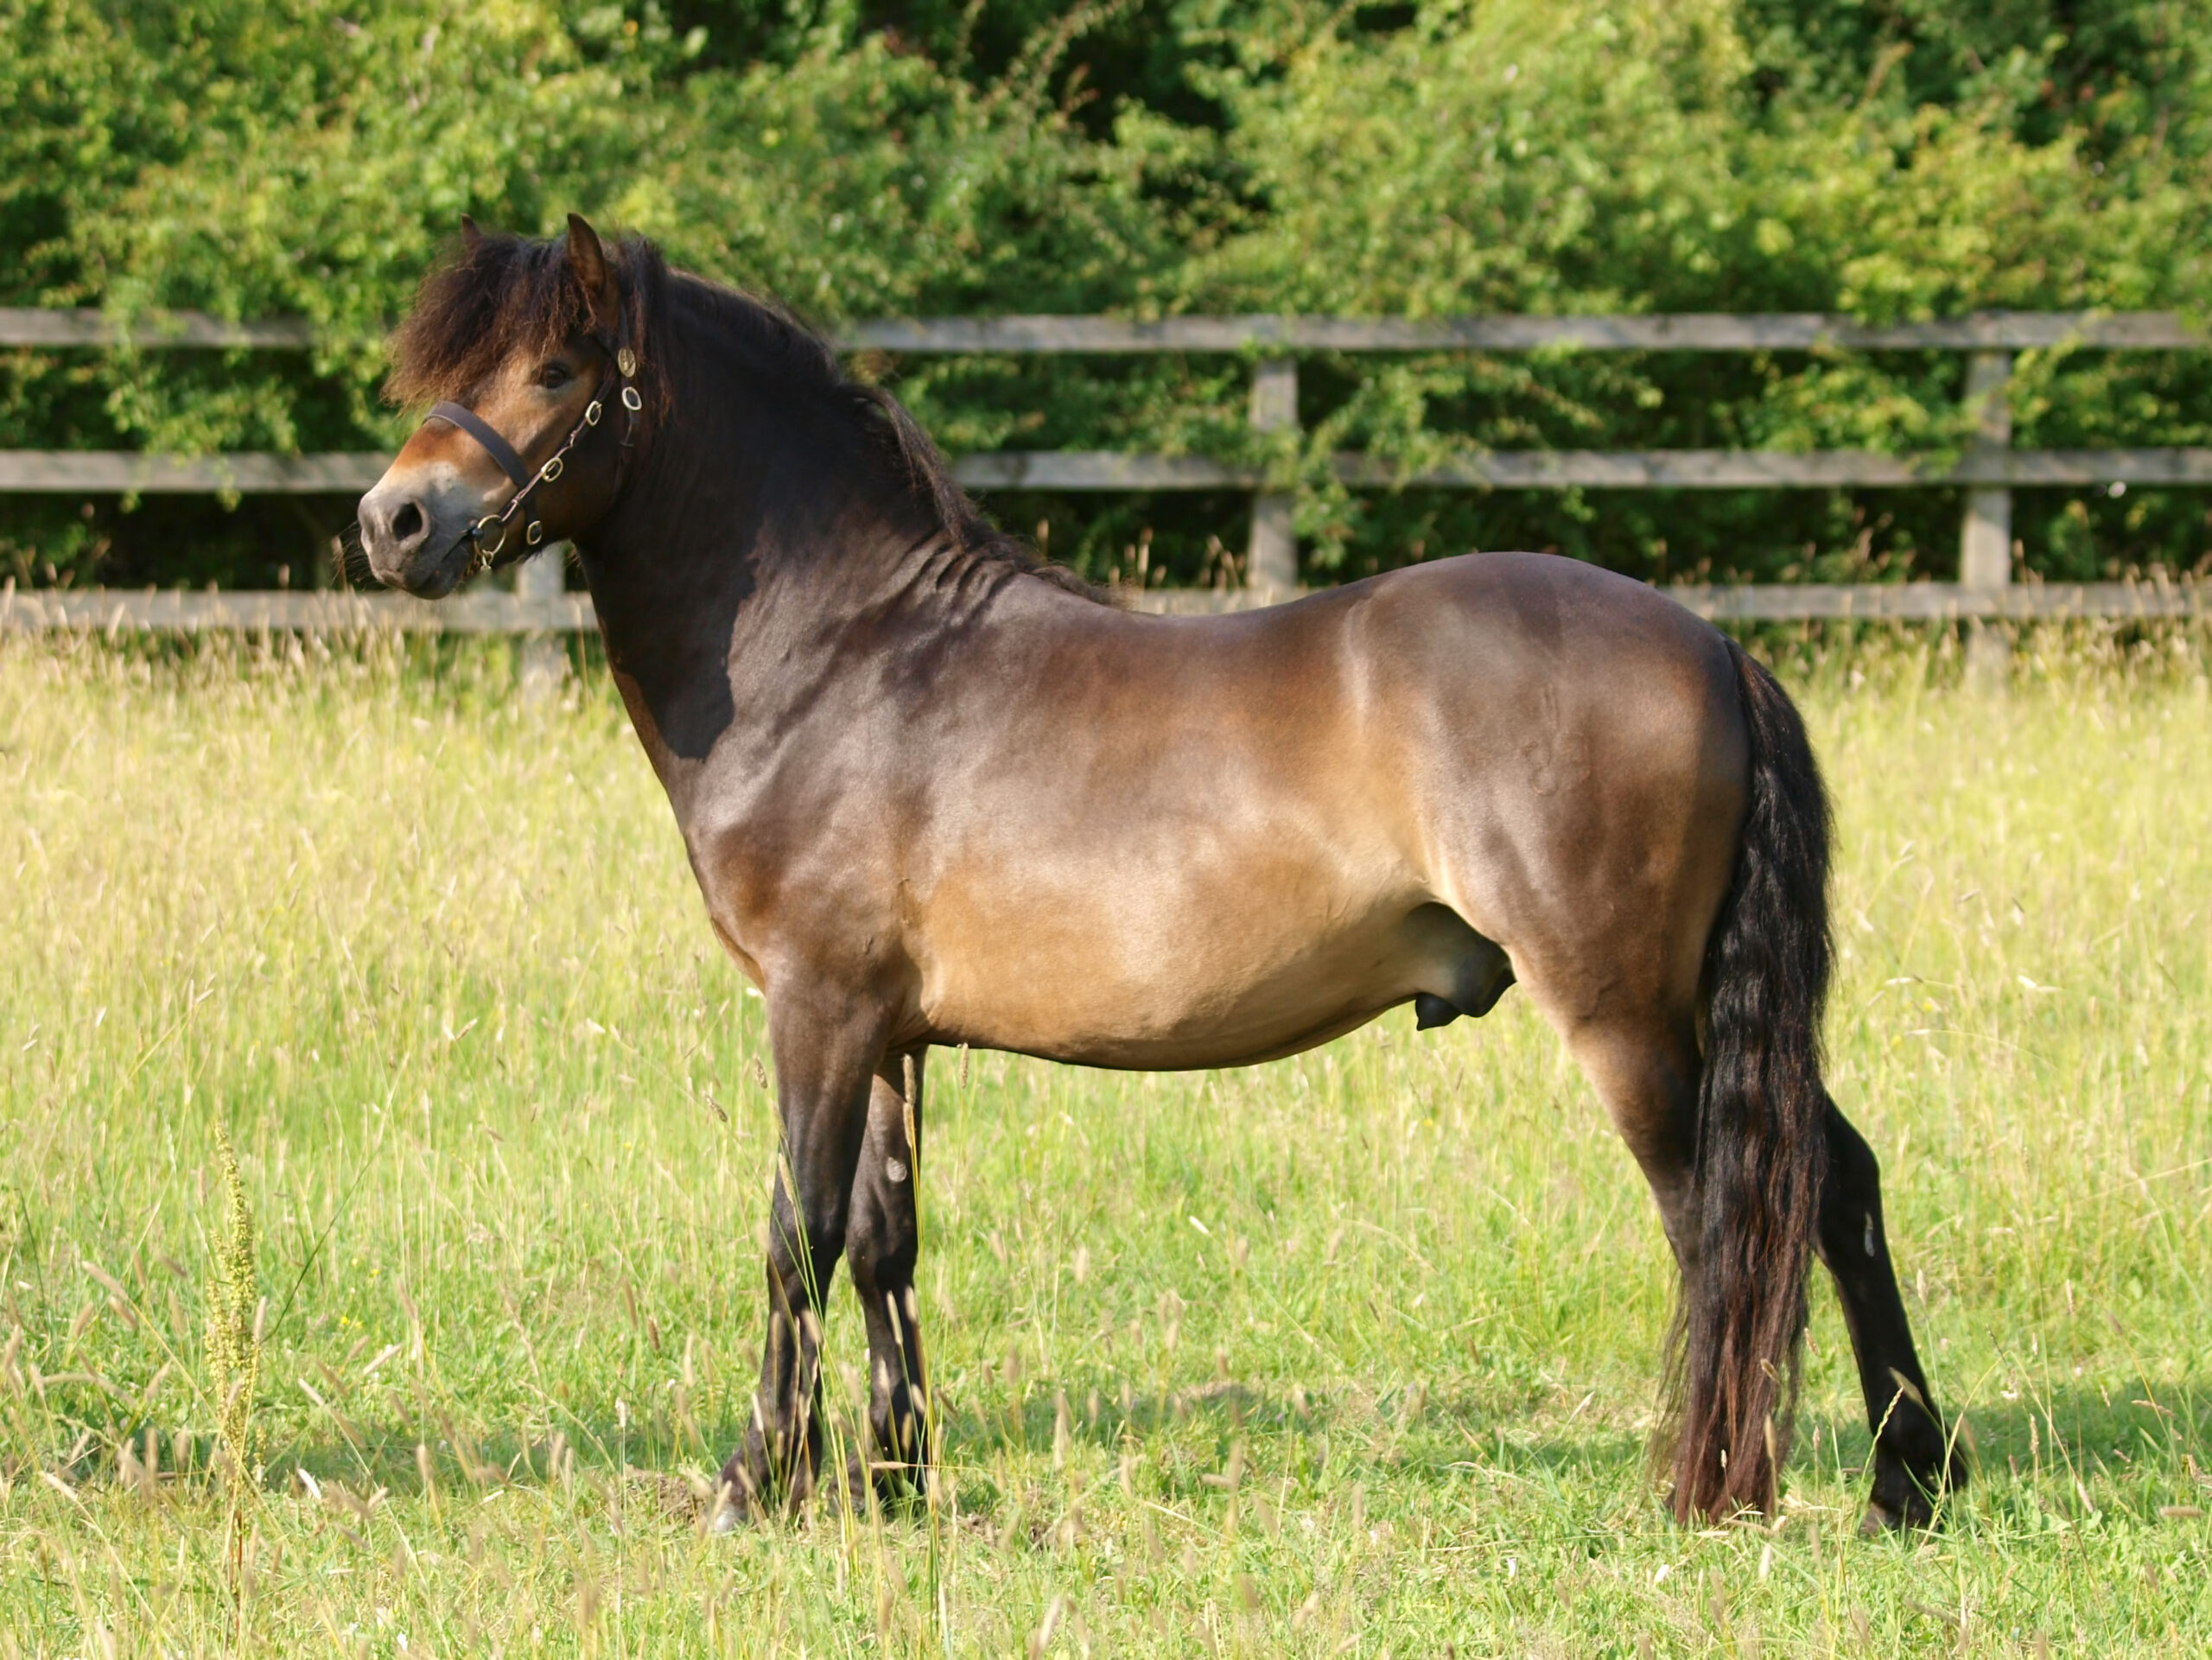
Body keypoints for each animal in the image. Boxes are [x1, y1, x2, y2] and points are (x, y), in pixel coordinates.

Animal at [353, 218, 1964, 1531]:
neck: (847, 652)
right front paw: (893, 1481)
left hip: (1629, 1012)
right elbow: (882, 1241)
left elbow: (793, 1237)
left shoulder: (816, 1009)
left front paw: (757, 1485)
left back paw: (1713, 1482)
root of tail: (1711, 643)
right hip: (1700, 1011)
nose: (392, 522)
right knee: (1834, 1182)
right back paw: (1910, 1477)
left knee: (1716, 1214)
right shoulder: (889, 1030)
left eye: (556, 367)